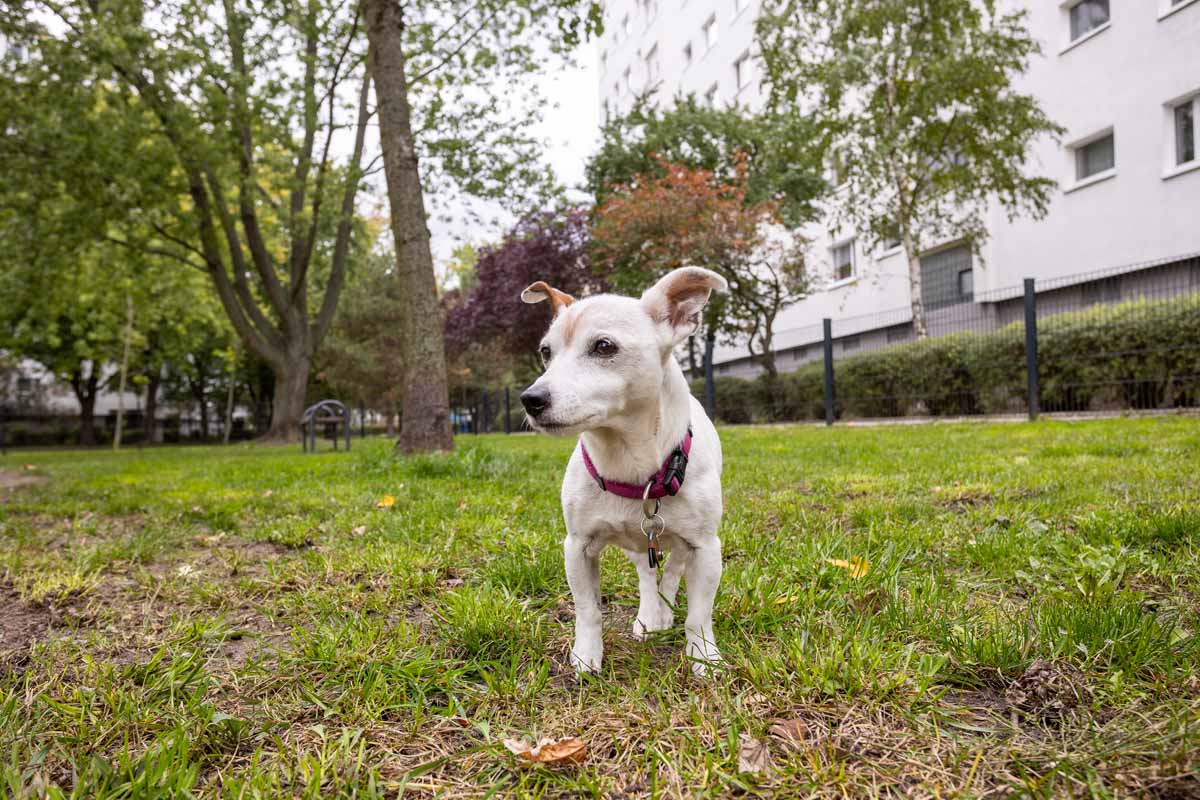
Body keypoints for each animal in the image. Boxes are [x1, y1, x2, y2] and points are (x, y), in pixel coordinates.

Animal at [520, 268, 724, 676]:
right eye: (546, 352)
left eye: (603, 347)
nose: (531, 399)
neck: (630, 467)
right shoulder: (577, 547)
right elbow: (587, 611)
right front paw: (586, 656)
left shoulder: (707, 549)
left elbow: (699, 614)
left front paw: (704, 658)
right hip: (640, 545)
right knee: (647, 575)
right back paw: (649, 616)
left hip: (683, 543)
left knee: (672, 571)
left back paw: (664, 612)